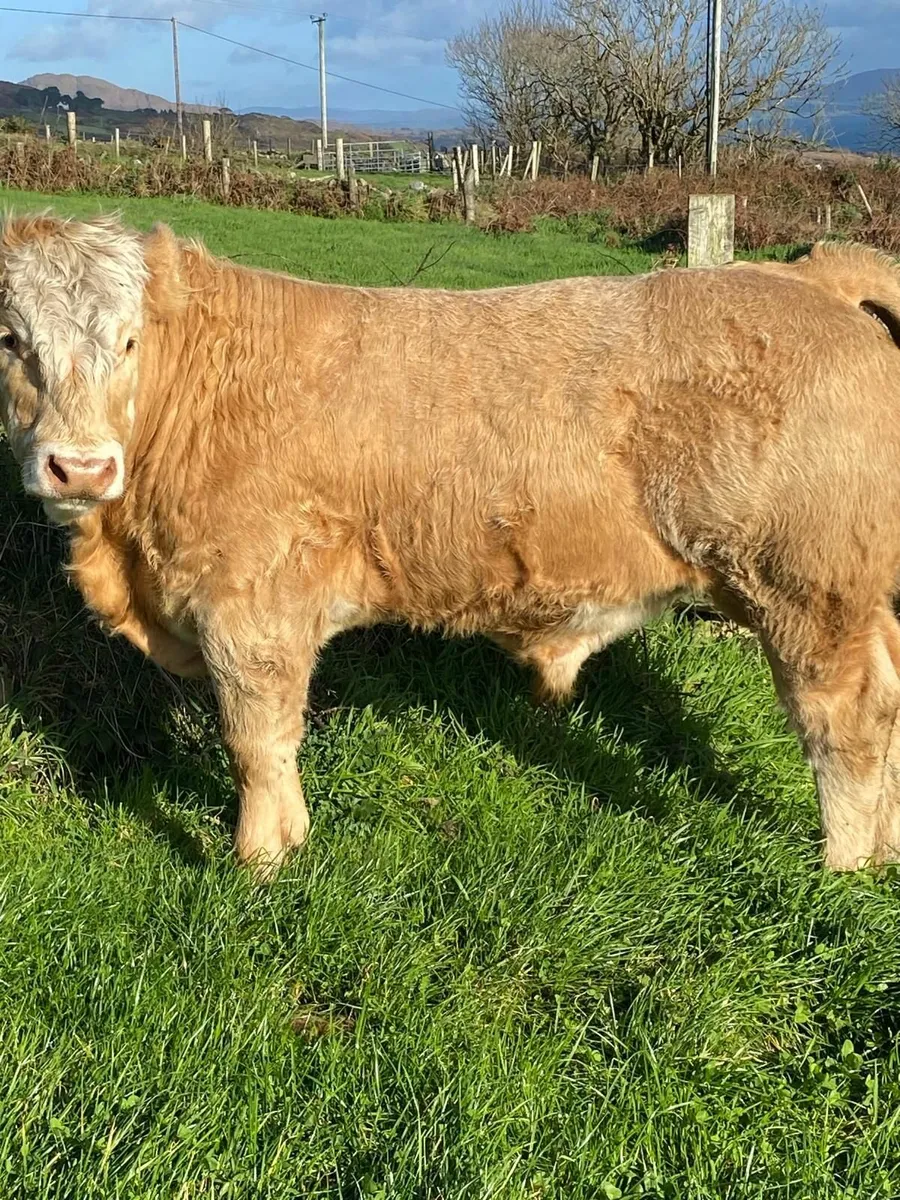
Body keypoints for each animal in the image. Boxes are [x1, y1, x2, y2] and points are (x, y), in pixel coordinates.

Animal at [1, 210, 900, 878]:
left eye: (128, 341)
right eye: (11, 339)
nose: (80, 466)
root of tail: (802, 276)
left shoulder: (249, 613)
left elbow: (255, 741)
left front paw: (258, 862)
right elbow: (276, 740)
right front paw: (289, 843)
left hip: (806, 589)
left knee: (847, 719)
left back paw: (845, 865)